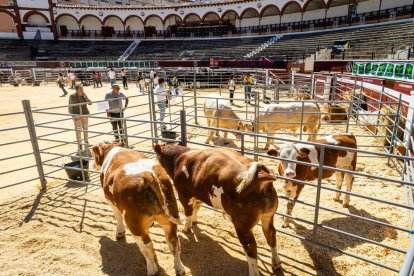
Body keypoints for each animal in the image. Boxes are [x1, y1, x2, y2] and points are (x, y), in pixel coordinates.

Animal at [94, 141, 186, 274]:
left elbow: (117, 217)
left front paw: (119, 233)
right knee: (173, 243)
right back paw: (179, 268)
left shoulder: (110, 200)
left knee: (147, 246)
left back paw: (152, 270)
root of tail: (147, 175)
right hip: (170, 217)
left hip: (134, 224)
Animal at [155, 144, 282, 276]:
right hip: (268, 216)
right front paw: (194, 221)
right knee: (271, 235)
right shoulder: (199, 194)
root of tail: (260, 178)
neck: (180, 159)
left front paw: (186, 227)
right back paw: (276, 264)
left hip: (242, 224)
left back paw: (254, 271)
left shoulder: (184, 195)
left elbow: (188, 212)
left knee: (250, 247)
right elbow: (197, 208)